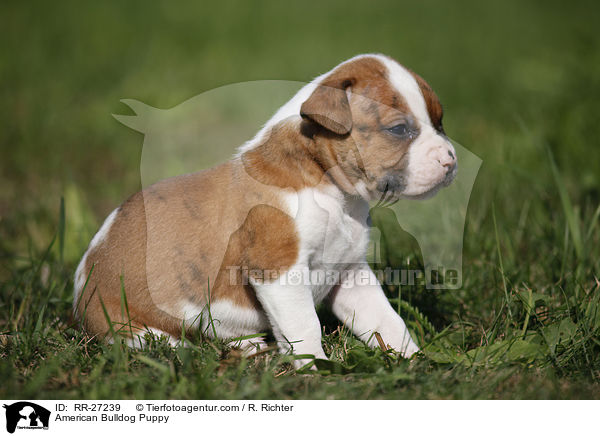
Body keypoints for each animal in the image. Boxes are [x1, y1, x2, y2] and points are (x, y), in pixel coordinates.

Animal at [76, 54, 460, 368]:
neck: (325, 184)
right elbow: (305, 325)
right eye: (399, 129)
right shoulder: (279, 272)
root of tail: (79, 298)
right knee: (165, 344)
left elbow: (387, 320)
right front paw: (317, 370)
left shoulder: (351, 274)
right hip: (134, 328)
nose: (450, 160)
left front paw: (414, 361)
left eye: (440, 123)